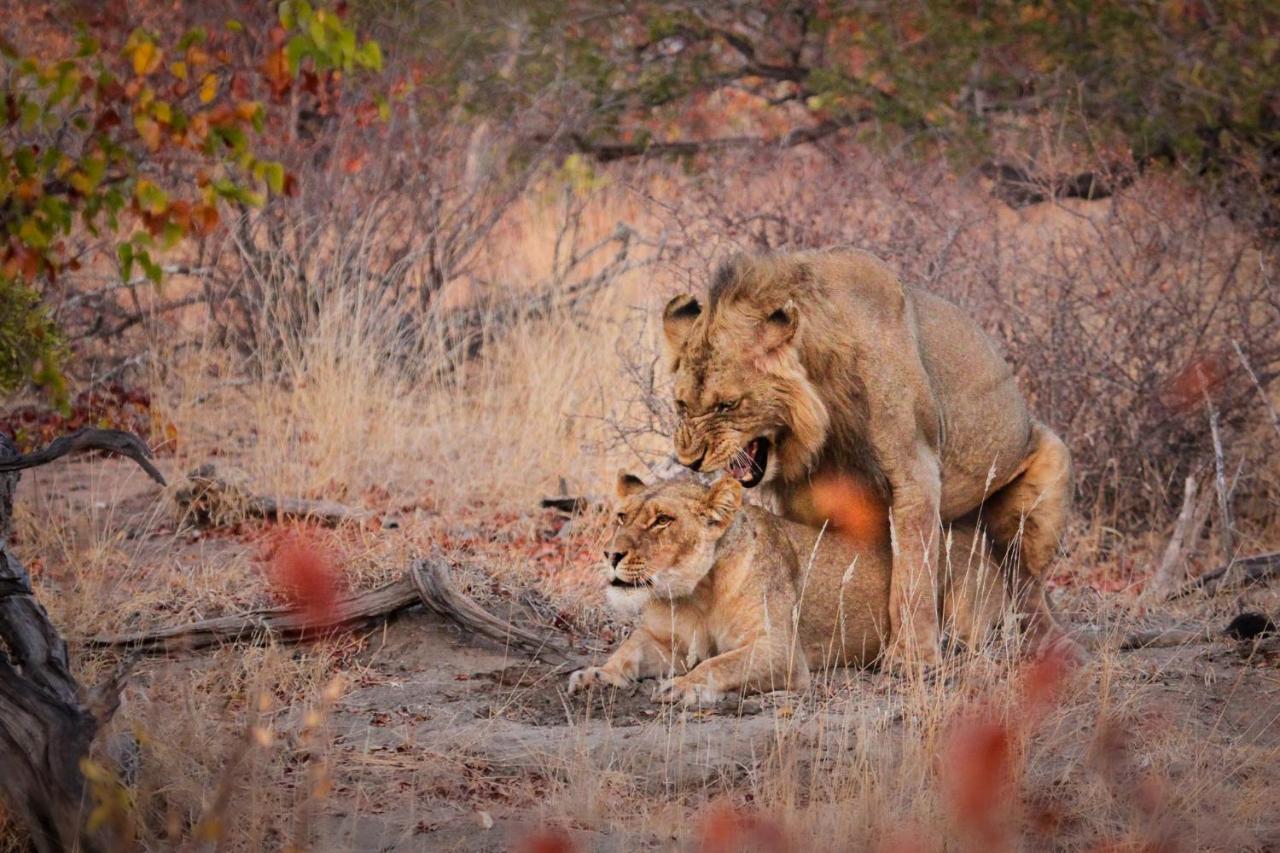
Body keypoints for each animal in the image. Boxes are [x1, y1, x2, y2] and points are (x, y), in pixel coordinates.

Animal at [570, 471, 1008, 701]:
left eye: (663, 520)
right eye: (622, 516)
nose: (610, 554)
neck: (696, 593)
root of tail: (976, 539)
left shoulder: (780, 651)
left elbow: (718, 663)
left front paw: (683, 687)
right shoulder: (663, 640)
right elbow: (627, 651)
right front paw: (596, 675)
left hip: (962, 619)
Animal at [660, 245, 1070, 666]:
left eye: (727, 405)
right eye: (681, 404)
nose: (690, 460)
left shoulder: (916, 472)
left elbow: (913, 570)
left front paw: (911, 657)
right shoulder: (807, 494)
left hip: (1046, 482)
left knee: (1028, 587)